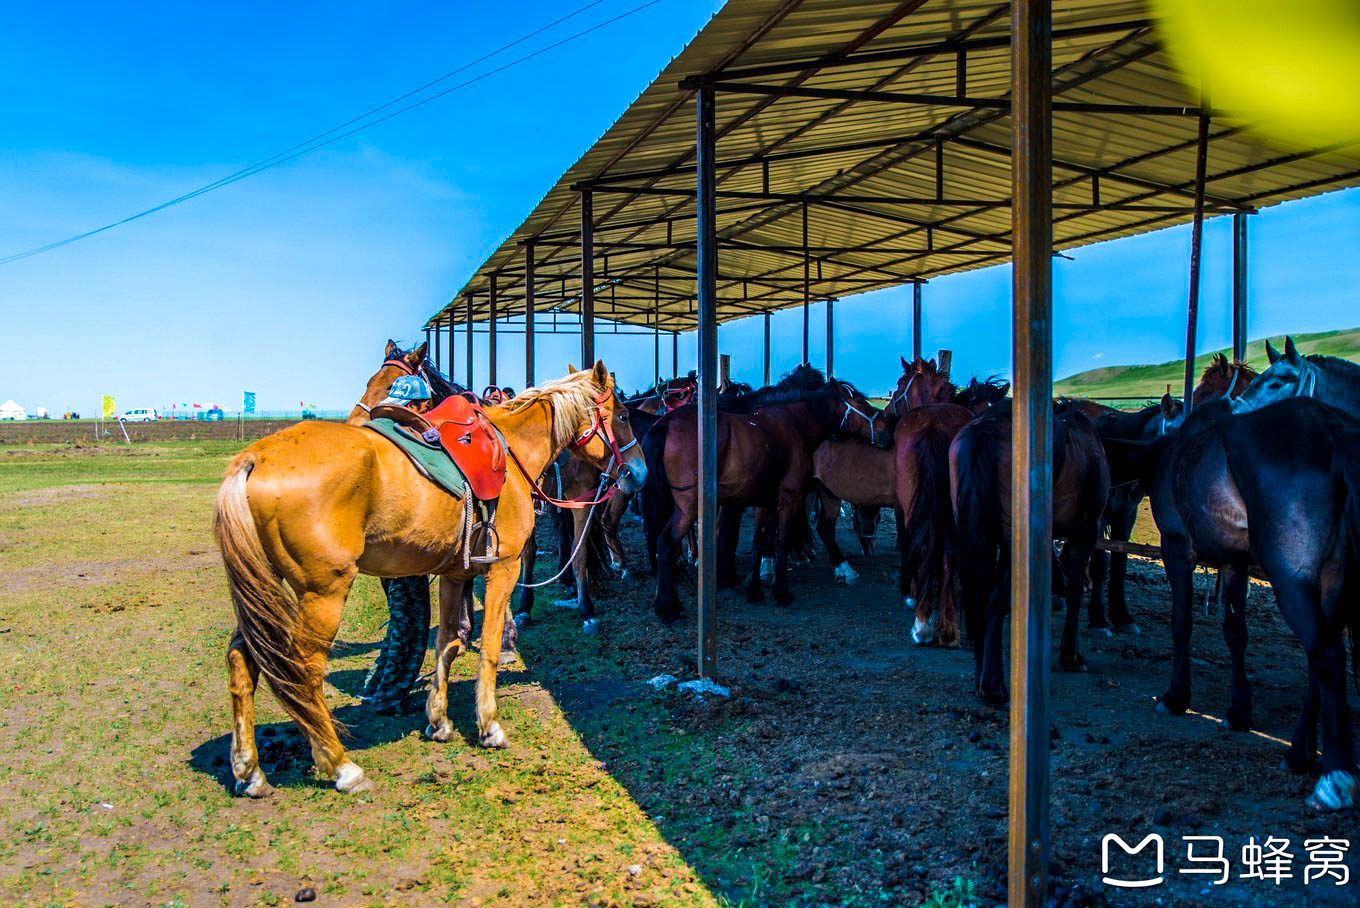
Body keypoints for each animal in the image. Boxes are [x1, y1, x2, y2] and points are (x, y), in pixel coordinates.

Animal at [213, 361, 647, 793]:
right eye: (624, 416)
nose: (640, 472)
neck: (511, 451)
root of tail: (255, 457)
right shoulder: (502, 568)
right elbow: (490, 646)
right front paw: (489, 725)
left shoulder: (456, 573)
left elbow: (447, 644)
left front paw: (439, 720)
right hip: (323, 592)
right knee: (302, 669)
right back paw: (340, 765)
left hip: (267, 590)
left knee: (242, 659)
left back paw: (249, 770)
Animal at [641, 367, 886, 617]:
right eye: (859, 401)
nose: (885, 426)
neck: (795, 424)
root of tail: (665, 424)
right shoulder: (789, 495)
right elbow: (778, 540)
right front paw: (779, 591)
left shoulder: (765, 499)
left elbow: (759, 540)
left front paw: (754, 586)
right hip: (689, 505)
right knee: (666, 541)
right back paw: (668, 606)